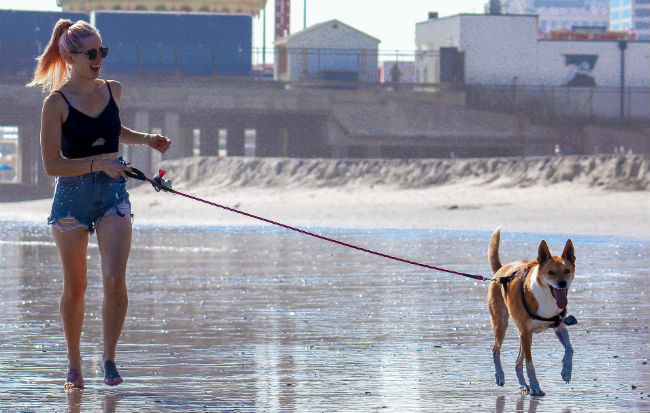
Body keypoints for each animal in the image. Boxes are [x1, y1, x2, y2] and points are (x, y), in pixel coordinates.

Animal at [484, 229, 576, 396]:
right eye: (550, 272)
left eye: (567, 271)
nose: (562, 283)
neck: (546, 297)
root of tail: (500, 271)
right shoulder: (526, 332)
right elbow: (530, 364)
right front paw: (535, 386)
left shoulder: (559, 327)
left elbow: (570, 349)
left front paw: (566, 371)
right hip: (502, 324)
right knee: (496, 350)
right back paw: (500, 376)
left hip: (524, 334)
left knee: (516, 362)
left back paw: (523, 384)